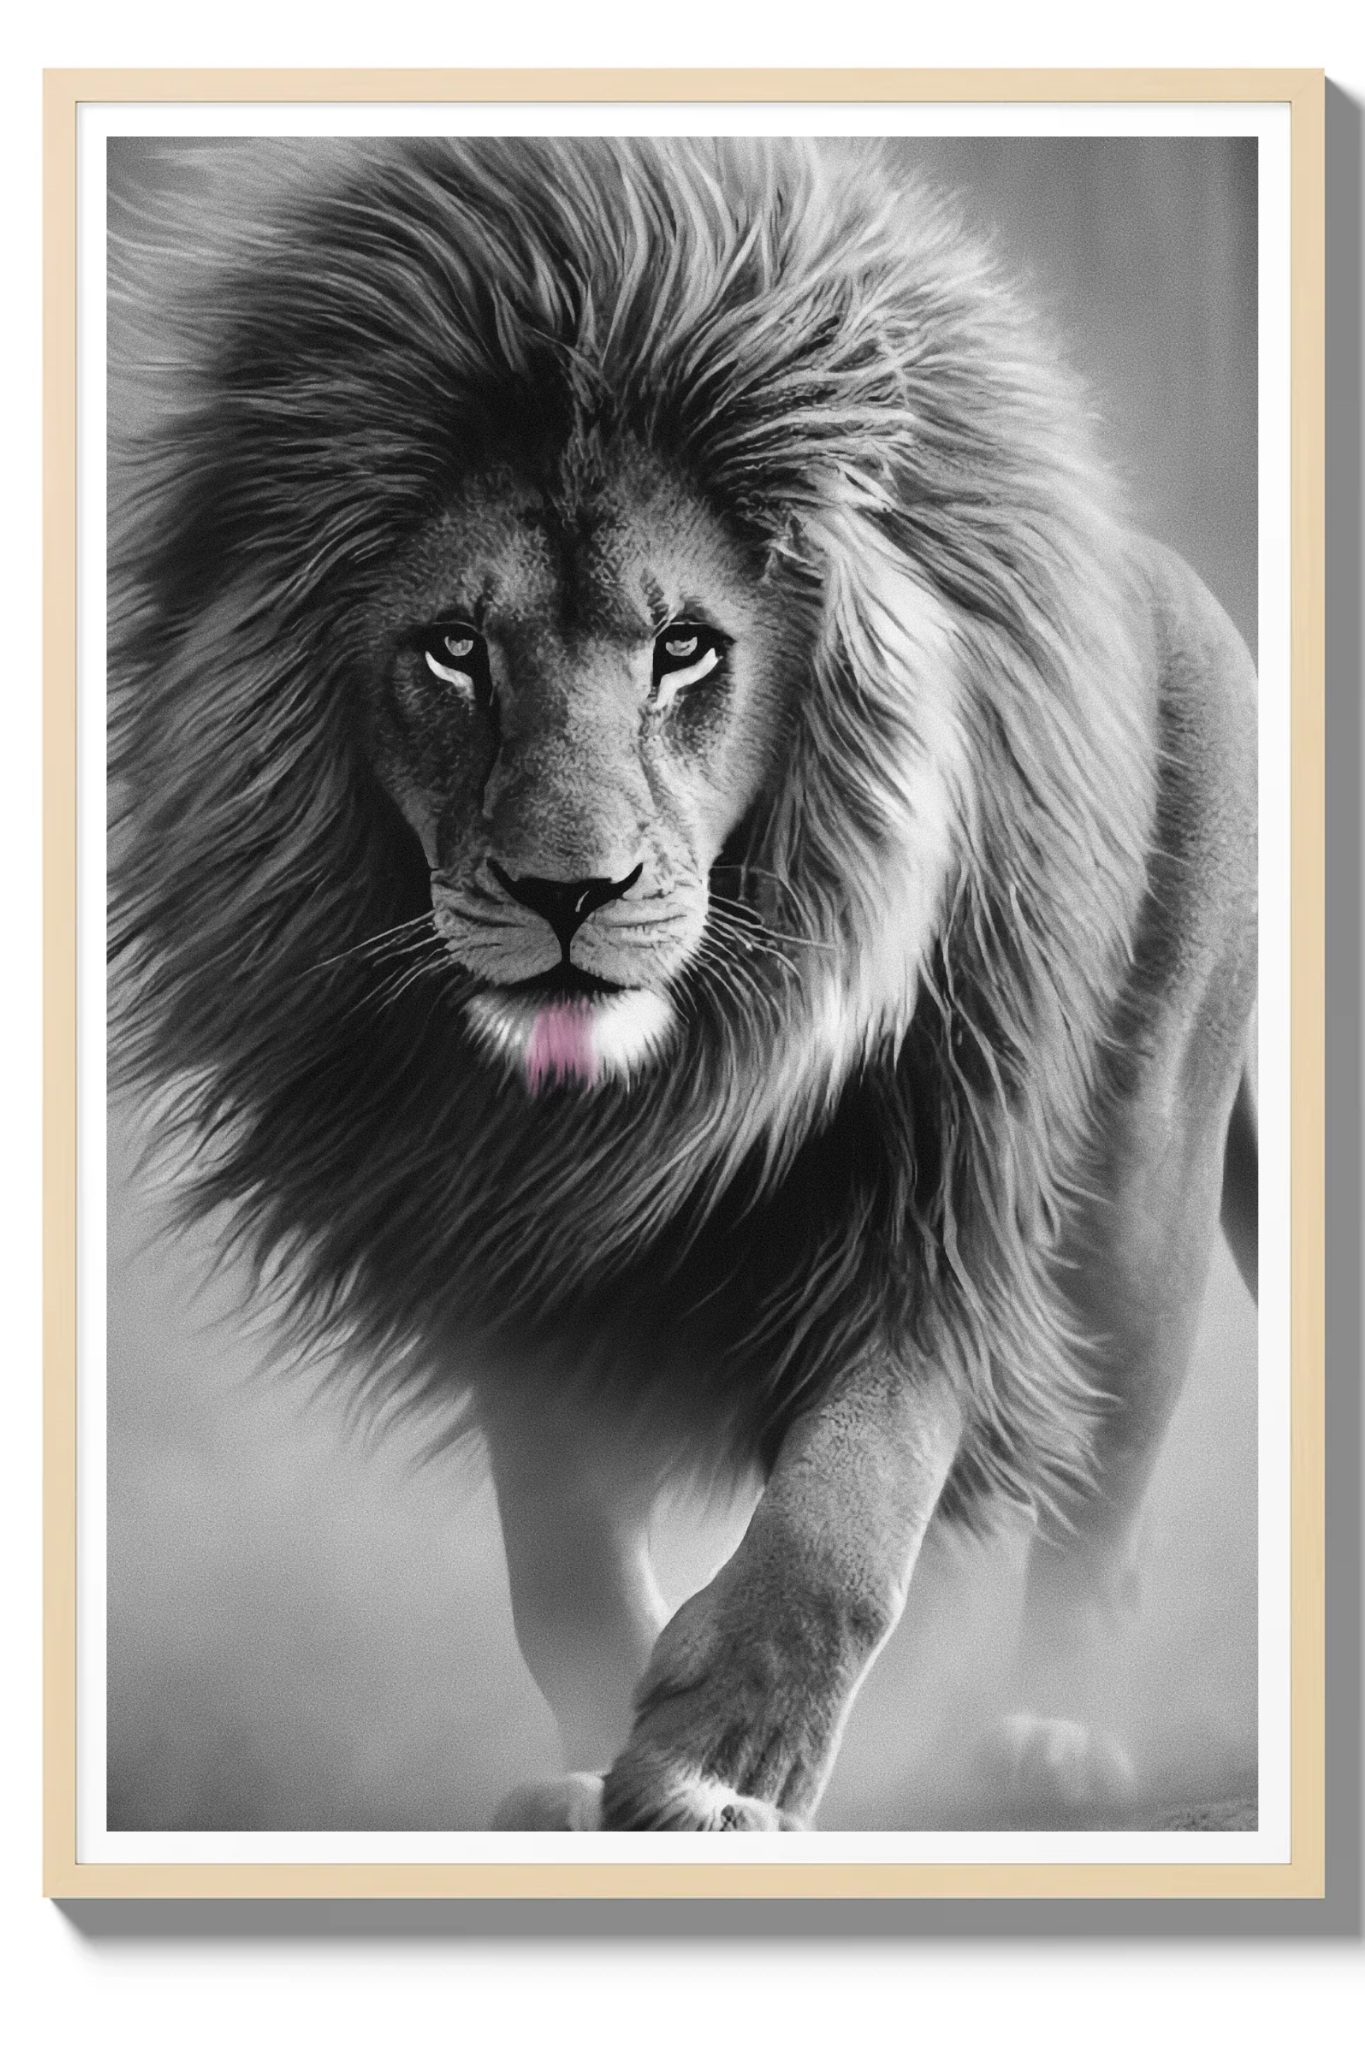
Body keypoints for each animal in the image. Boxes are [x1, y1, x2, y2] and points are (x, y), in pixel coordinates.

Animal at [110, 135, 1257, 1831]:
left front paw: (724, 1765)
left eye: (686, 650)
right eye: (455, 649)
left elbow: (849, 1508)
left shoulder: (937, 1196)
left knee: (1098, 1507)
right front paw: (599, 1766)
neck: (654, 1098)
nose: (565, 894)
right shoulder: (503, 1261)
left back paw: (1053, 1738)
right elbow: (563, 1572)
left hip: (1141, 1209)